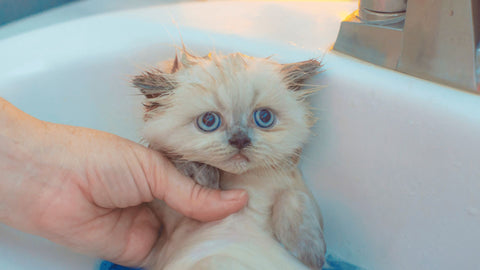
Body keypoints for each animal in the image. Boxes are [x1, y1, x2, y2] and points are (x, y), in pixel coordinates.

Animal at [133, 49, 324, 268]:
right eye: (209, 121)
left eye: (264, 118)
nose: (240, 140)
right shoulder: (163, 225)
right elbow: (172, 156)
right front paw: (203, 174)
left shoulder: (295, 184)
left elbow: (293, 196)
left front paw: (312, 253)